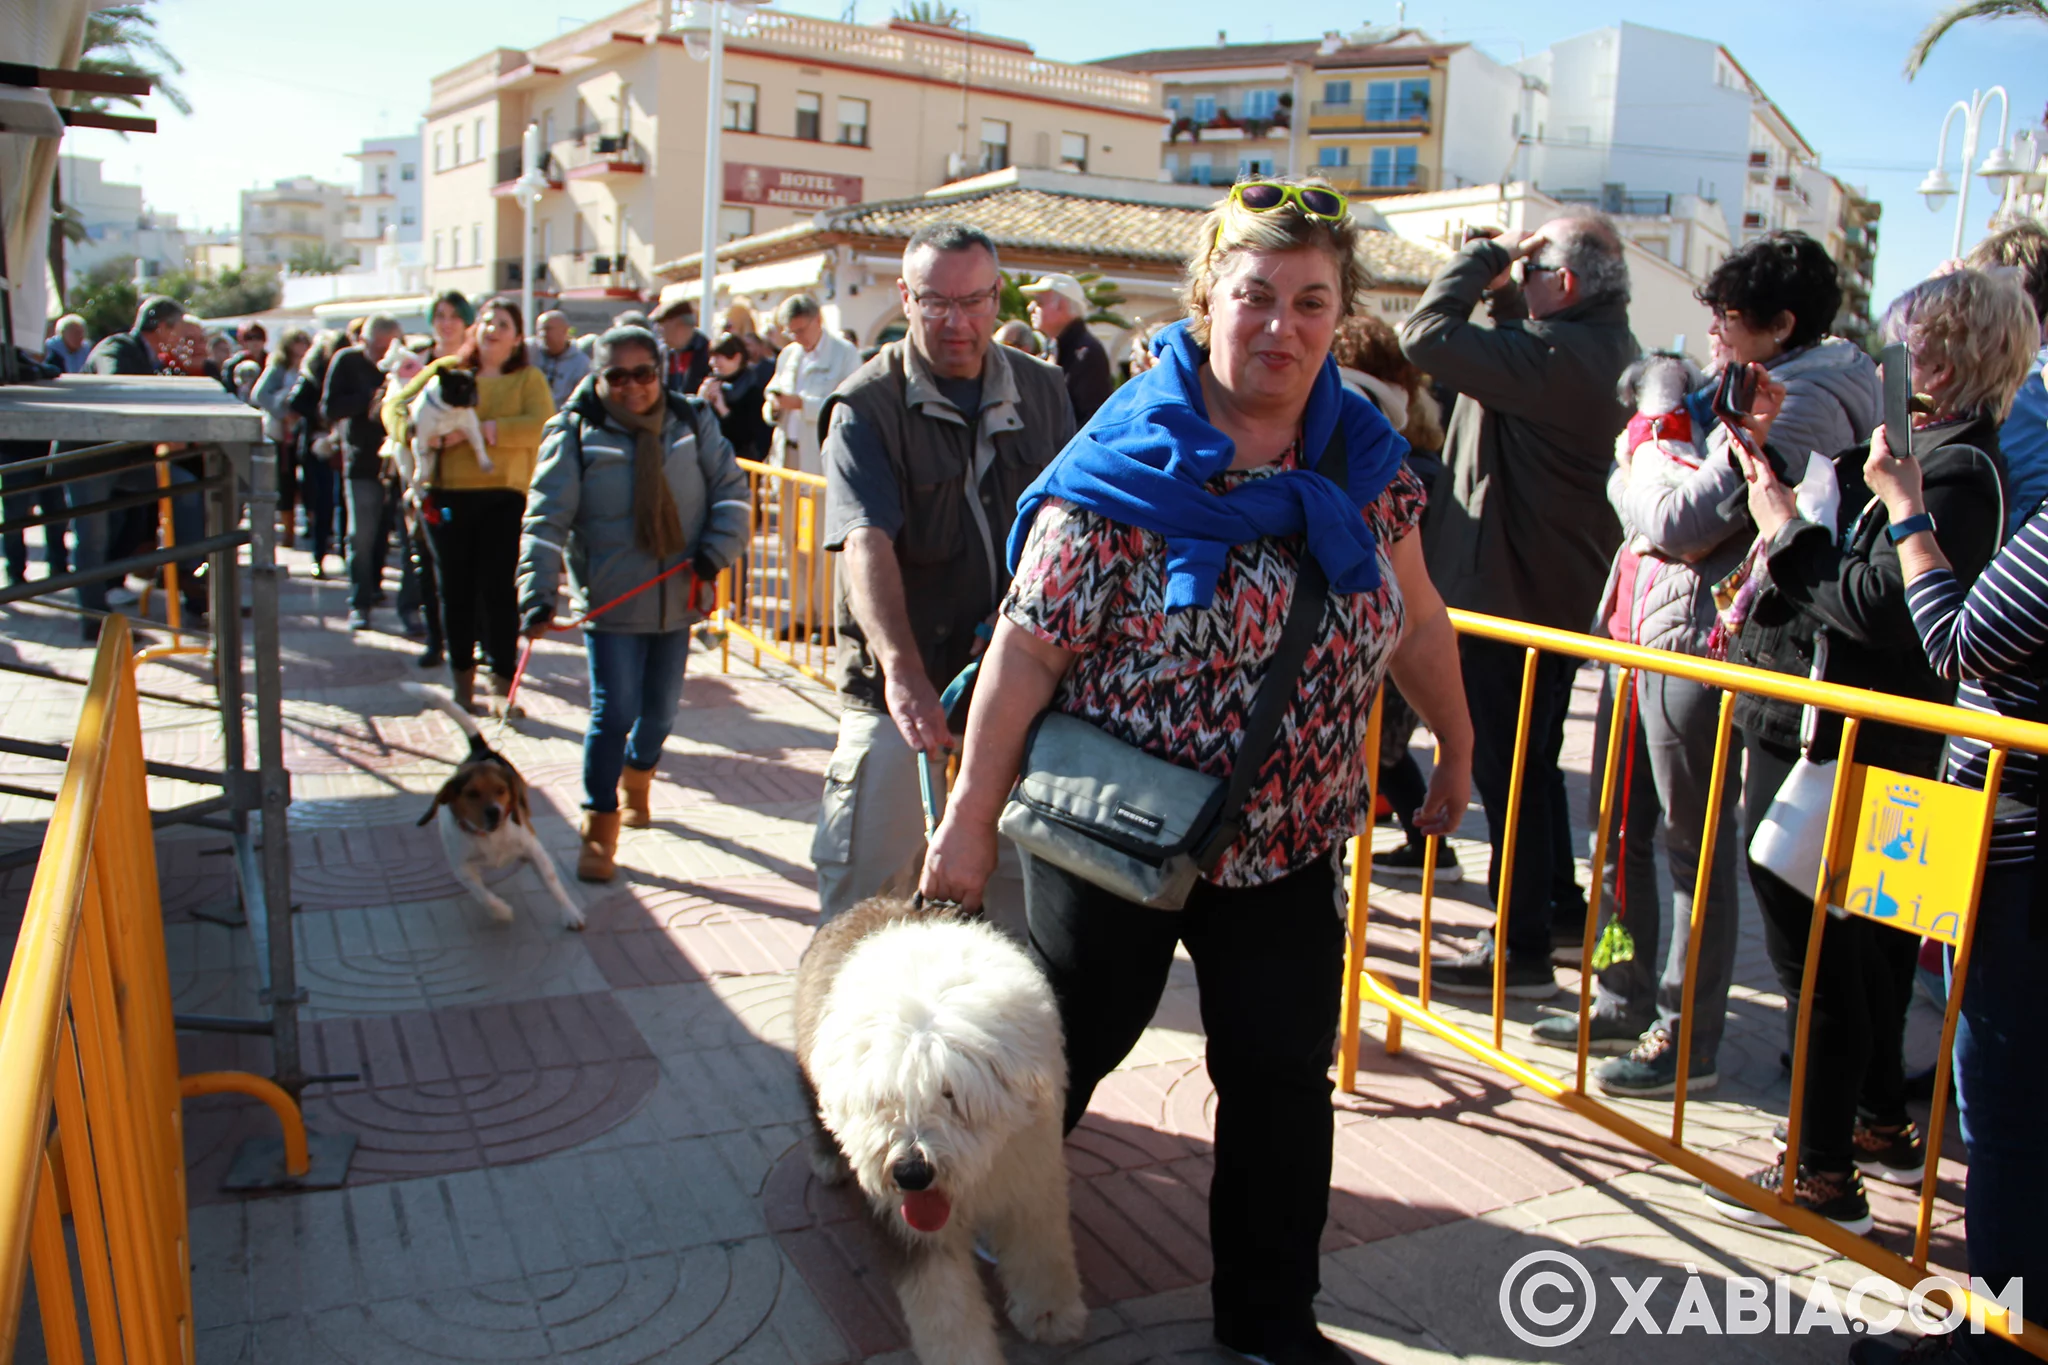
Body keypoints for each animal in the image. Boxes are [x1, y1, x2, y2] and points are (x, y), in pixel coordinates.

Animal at [403, 679, 585, 933]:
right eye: (471, 794)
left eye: (501, 790)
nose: (494, 812)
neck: (490, 836)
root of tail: (482, 750)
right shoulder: (462, 868)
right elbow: (481, 894)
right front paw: (500, 910)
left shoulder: (535, 851)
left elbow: (554, 885)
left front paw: (570, 912)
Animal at [794, 896, 1089, 1365]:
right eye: (885, 1098)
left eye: (950, 1094)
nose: (911, 1173)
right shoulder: (906, 1219)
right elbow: (942, 1298)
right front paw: (966, 1354)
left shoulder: (1030, 1170)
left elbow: (1040, 1247)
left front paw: (1051, 1313)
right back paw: (827, 1161)